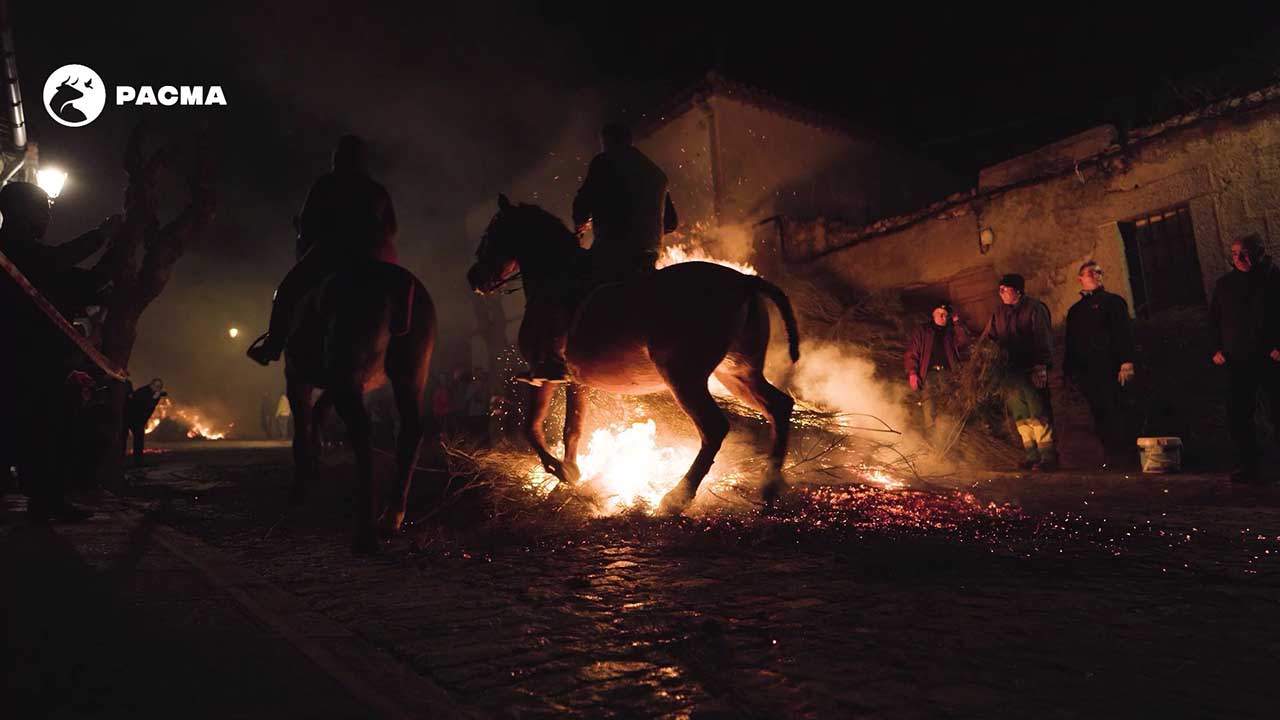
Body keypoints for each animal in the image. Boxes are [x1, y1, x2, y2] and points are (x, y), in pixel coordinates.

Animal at [282, 260, 437, 550]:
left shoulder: (297, 379)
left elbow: (302, 432)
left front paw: (299, 488)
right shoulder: (338, 383)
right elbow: (319, 413)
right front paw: (313, 464)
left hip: (347, 373)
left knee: (362, 434)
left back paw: (366, 531)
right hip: (409, 374)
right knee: (411, 431)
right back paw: (391, 516)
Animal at [465, 193, 793, 512]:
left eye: (489, 235)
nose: (473, 278)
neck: (554, 277)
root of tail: (745, 282)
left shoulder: (542, 375)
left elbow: (531, 427)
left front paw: (559, 470)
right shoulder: (575, 382)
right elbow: (573, 429)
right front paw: (570, 474)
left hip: (683, 377)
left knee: (714, 429)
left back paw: (677, 497)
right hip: (737, 373)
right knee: (779, 406)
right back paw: (769, 487)